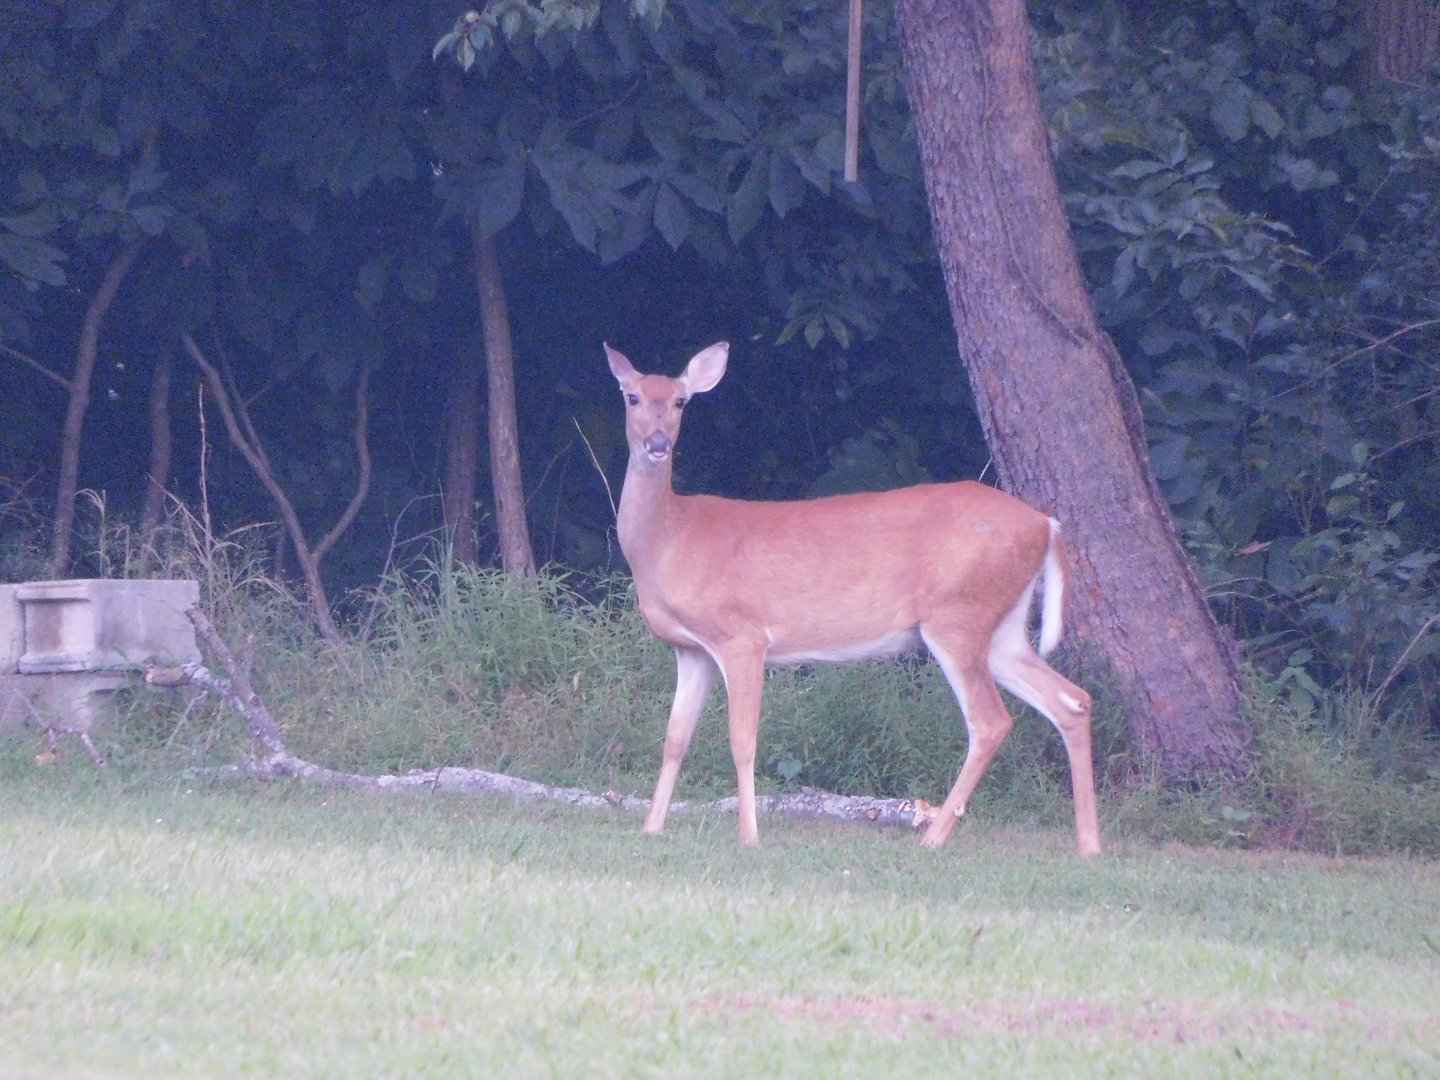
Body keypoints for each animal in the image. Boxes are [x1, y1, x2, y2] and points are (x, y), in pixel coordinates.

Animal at [605, 341, 1101, 858]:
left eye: (681, 401)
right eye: (632, 396)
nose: (657, 443)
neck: (670, 538)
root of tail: (1046, 525)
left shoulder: (741, 635)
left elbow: (742, 740)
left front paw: (749, 836)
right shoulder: (692, 650)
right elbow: (674, 738)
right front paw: (652, 827)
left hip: (957, 615)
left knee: (990, 721)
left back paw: (935, 836)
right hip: (1000, 627)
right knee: (1072, 700)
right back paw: (1088, 844)